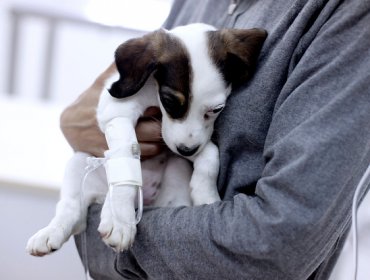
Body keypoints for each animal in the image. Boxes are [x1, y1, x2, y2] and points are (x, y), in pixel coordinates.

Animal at [27, 23, 268, 256]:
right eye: (169, 101)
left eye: (216, 110)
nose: (187, 151)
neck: (154, 92)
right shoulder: (117, 111)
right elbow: (127, 155)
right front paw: (121, 220)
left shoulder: (184, 142)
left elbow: (210, 155)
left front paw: (205, 194)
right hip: (79, 162)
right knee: (71, 209)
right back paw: (52, 232)